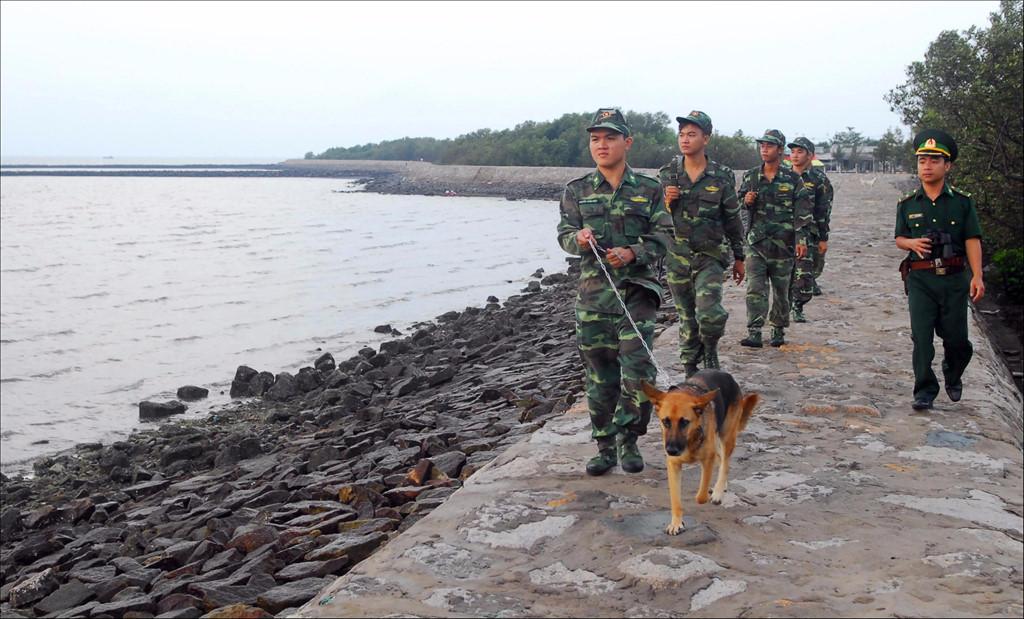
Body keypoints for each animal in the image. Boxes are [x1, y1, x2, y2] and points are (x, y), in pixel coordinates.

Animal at [638, 368, 761, 532]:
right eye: (665, 422)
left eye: (684, 422)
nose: (671, 450)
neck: (690, 439)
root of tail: (724, 373)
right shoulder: (673, 465)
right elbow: (675, 499)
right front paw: (676, 523)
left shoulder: (707, 460)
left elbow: (701, 496)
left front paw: (708, 495)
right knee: (721, 459)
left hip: (727, 436)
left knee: (725, 463)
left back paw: (718, 491)